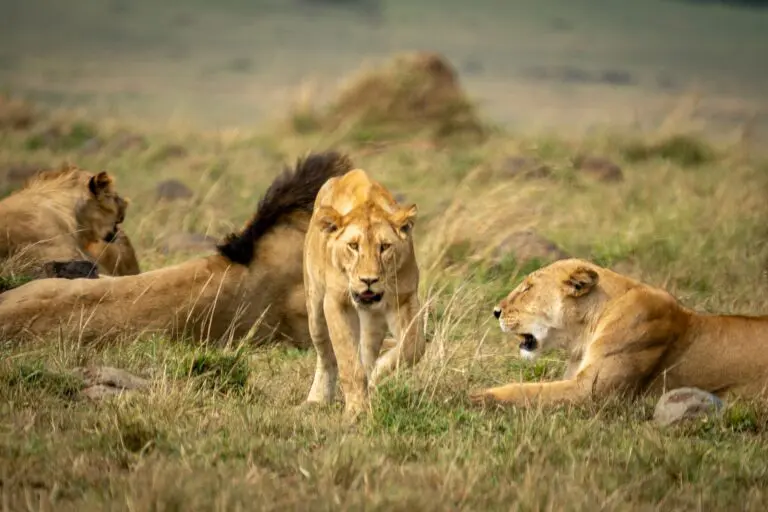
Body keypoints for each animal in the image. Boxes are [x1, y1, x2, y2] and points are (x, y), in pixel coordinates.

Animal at [303, 168, 425, 416]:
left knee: (367, 351)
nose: (368, 281)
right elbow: (348, 362)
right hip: (315, 307)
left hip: (373, 322)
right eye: (353, 246)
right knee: (325, 355)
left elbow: (414, 346)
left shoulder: (404, 298)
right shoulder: (336, 302)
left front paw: (377, 374)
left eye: (385, 247)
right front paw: (357, 410)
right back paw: (318, 399)